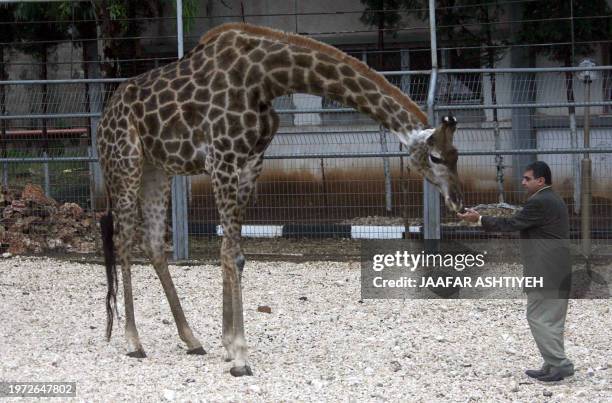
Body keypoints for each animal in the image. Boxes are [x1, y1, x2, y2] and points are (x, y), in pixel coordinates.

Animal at [97, 21, 464, 376]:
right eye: (435, 157)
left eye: (456, 154)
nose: (459, 203)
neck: (265, 78)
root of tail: (103, 120)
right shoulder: (222, 160)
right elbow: (230, 252)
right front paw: (240, 356)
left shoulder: (250, 163)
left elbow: (233, 254)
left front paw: (228, 345)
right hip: (125, 165)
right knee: (124, 240)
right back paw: (133, 341)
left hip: (156, 170)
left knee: (154, 243)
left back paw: (191, 339)